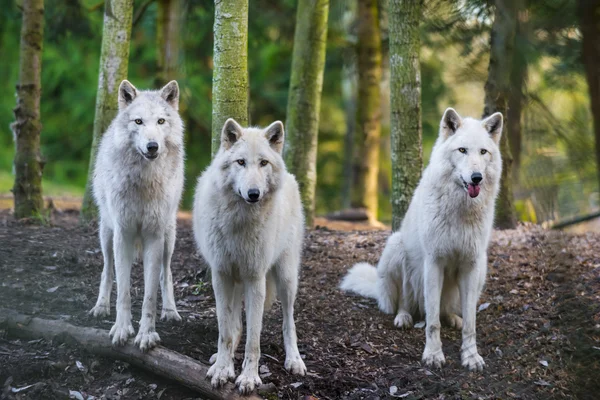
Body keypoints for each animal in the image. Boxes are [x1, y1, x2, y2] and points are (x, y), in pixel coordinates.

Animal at [90, 79, 184, 352]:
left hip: (169, 238)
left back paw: (171, 311)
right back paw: (100, 306)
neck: (145, 181)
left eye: (161, 121)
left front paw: (146, 334)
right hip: (107, 234)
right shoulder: (123, 234)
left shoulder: (154, 236)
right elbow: (123, 290)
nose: (152, 146)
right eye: (139, 121)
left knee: (166, 273)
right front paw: (122, 329)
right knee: (107, 270)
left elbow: (150, 295)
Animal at [193, 119, 308, 394]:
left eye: (263, 163)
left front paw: (248, 377)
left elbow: (253, 339)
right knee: (234, 326)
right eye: (241, 162)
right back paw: (219, 359)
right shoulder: (221, 275)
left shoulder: (255, 279)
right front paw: (222, 370)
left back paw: (294, 360)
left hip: (286, 277)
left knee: (289, 322)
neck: (239, 220)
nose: (253, 193)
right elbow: (225, 332)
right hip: (236, 282)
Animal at [340, 107, 504, 372]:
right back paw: (404, 317)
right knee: (405, 303)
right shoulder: (434, 262)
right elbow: (433, 322)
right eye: (462, 150)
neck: (460, 211)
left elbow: (470, 323)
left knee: (447, 311)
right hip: (397, 251)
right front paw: (433, 355)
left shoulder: (471, 265)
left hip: (482, 269)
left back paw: (453, 318)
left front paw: (471, 356)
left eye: (483, 152)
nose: (476, 177)